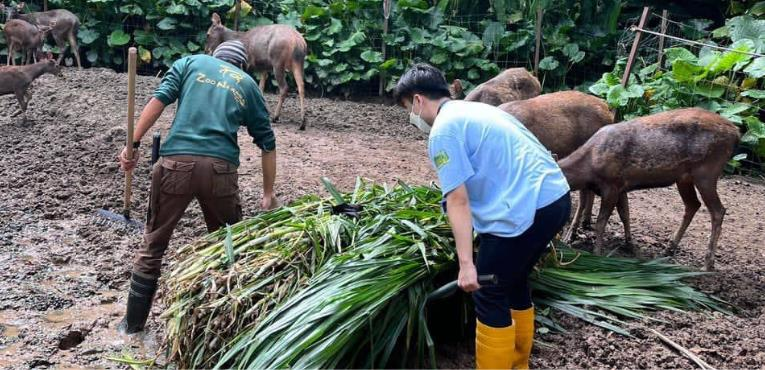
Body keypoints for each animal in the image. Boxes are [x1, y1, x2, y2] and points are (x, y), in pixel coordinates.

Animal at [556, 108, 740, 270]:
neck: (590, 166)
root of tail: (736, 133)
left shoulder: (612, 185)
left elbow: (601, 222)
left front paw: (597, 252)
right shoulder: (621, 186)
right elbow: (625, 214)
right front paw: (629, 244)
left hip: (707, 172)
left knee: (718, 210)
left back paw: (707, 264)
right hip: (684, 178)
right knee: (693, 204)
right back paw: (669, 248)